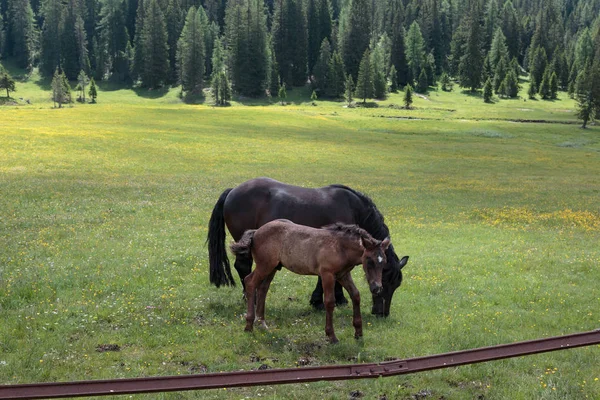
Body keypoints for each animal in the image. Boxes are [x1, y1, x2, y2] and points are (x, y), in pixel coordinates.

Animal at [206, 177, 408, 318]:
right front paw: (328, 300)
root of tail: (232, 191)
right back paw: (251, 297)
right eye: (387, 280)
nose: (382, 313)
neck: (354, 209)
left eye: (396, 284)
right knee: (243, 267)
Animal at [227, 219, 392, 344]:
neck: (340, 247)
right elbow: (330, 302)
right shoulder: (327, 275)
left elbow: (356, 295)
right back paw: (249, 325)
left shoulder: (343, 275)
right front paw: (331, 336)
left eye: (384, 262)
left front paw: (358, 333)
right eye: (369, 261)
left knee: (263, 288)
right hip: (264, 265)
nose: (377, 288)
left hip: (272, 267)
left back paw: (261, 323)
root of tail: (256, 232)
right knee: (250, 282)